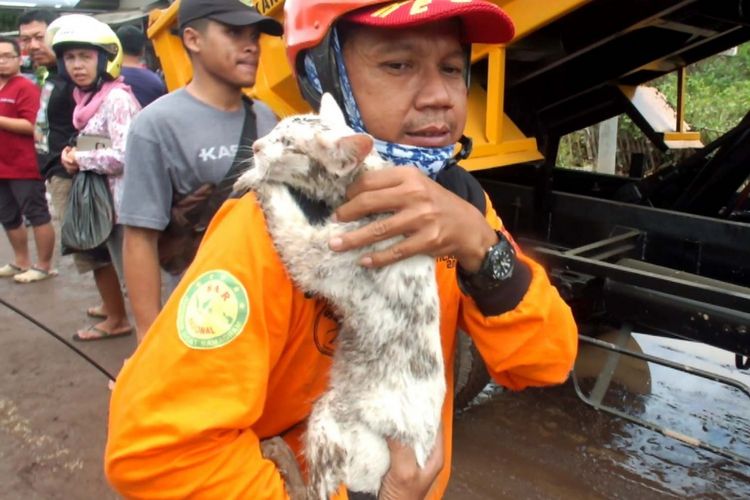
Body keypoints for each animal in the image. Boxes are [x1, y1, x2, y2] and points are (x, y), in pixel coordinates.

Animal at [236, 94, 446, 500]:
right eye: (274, 130)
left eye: (289, 145)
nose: (255, 146)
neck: (368, 179)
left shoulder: (315, 255)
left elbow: (282, 208)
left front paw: (253, 176)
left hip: (328, 418)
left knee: (311, 494)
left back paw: (281, 454)